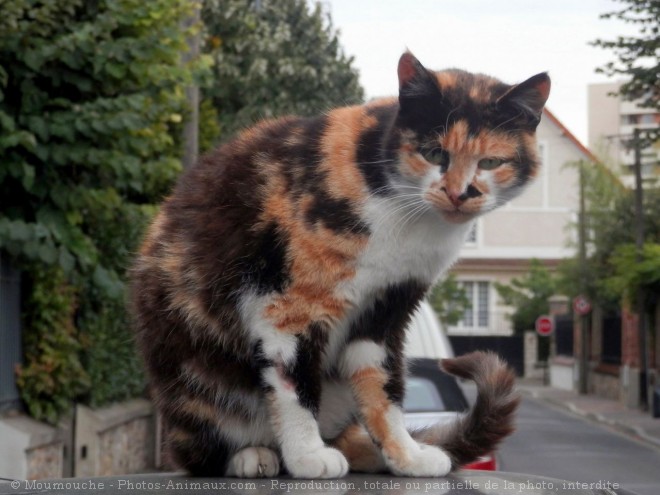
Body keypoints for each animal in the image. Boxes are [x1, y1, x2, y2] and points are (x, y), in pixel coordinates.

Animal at [131, 51, 548, 480]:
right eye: (434, 153)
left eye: (491, 161)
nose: (459, 193)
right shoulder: (289, 306)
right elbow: (294, 385)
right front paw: (308, 455)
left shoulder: (388, 308)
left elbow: (384, 387)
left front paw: (406, 455)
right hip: (194, 381)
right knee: (200, 452)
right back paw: (254, 455)